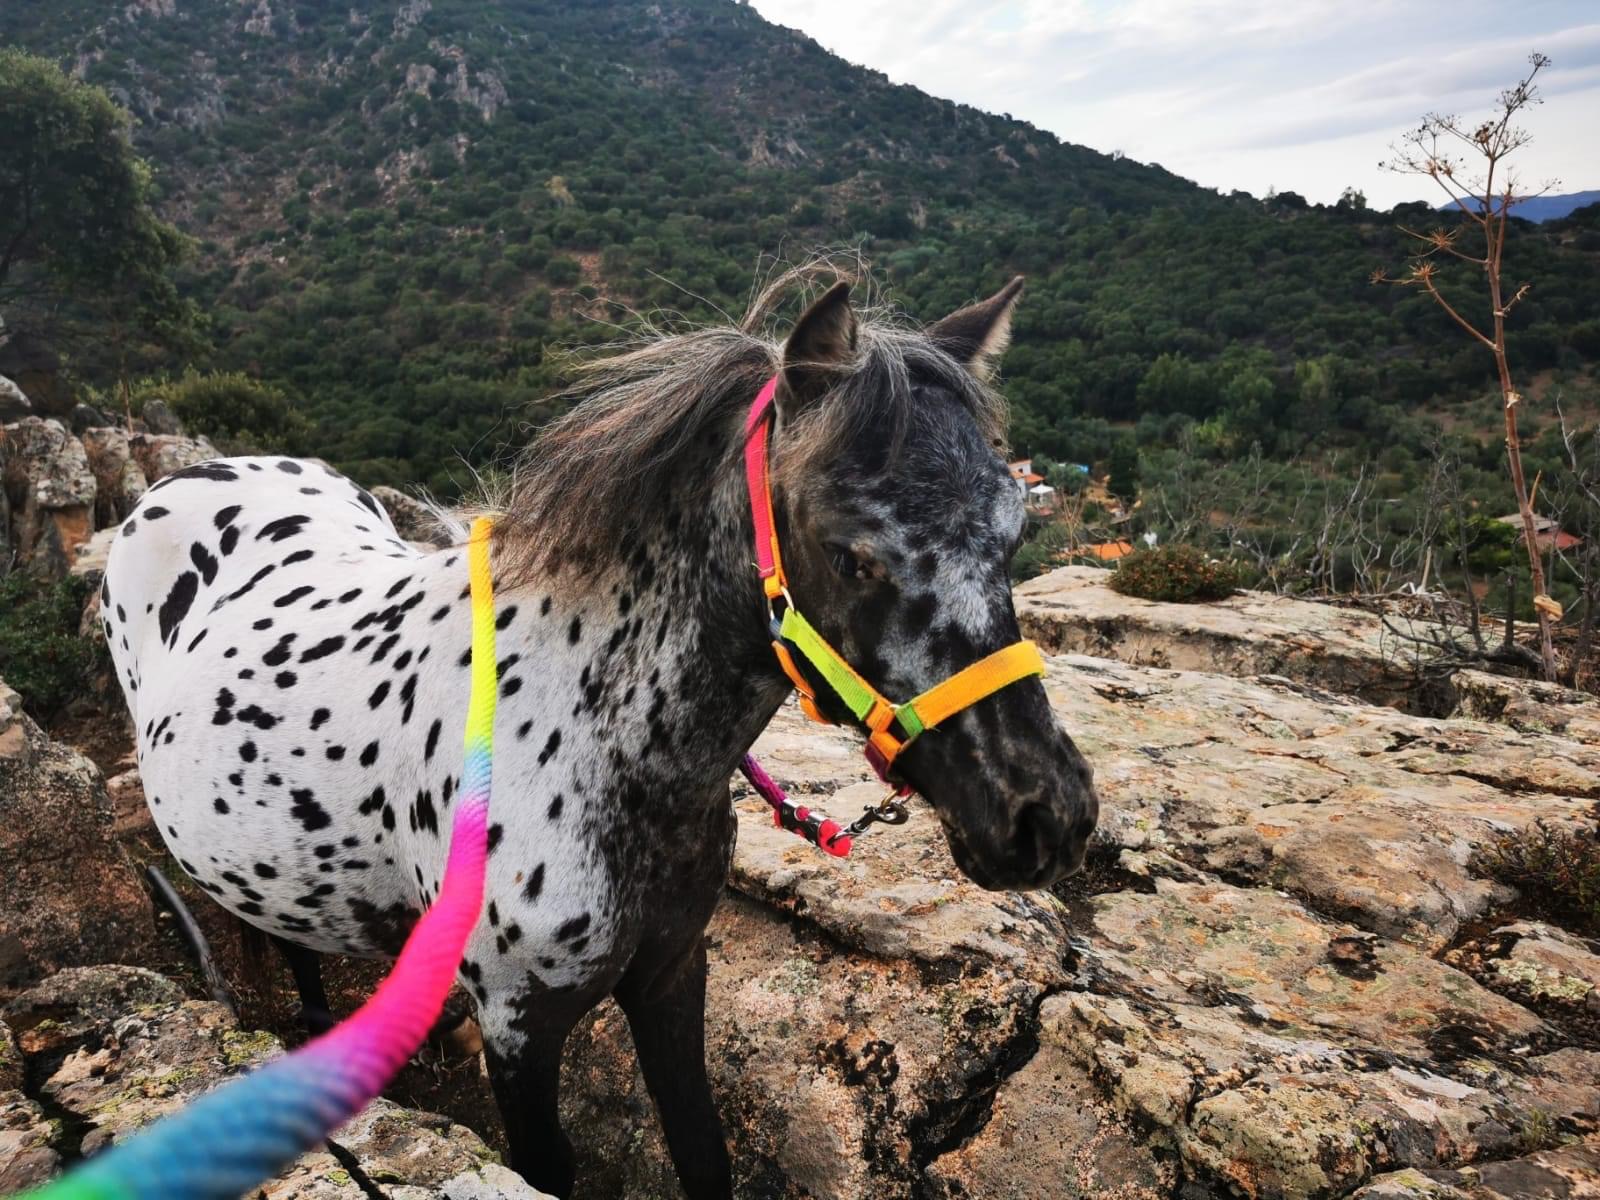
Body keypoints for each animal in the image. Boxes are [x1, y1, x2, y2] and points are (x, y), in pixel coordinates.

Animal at [101, 269, 1100, 1199]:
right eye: (852, 553)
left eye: (1015, 534)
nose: (1046, 818)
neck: (586, 736)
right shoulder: (517, 1025)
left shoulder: (669, 976)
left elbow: (703, 1152)